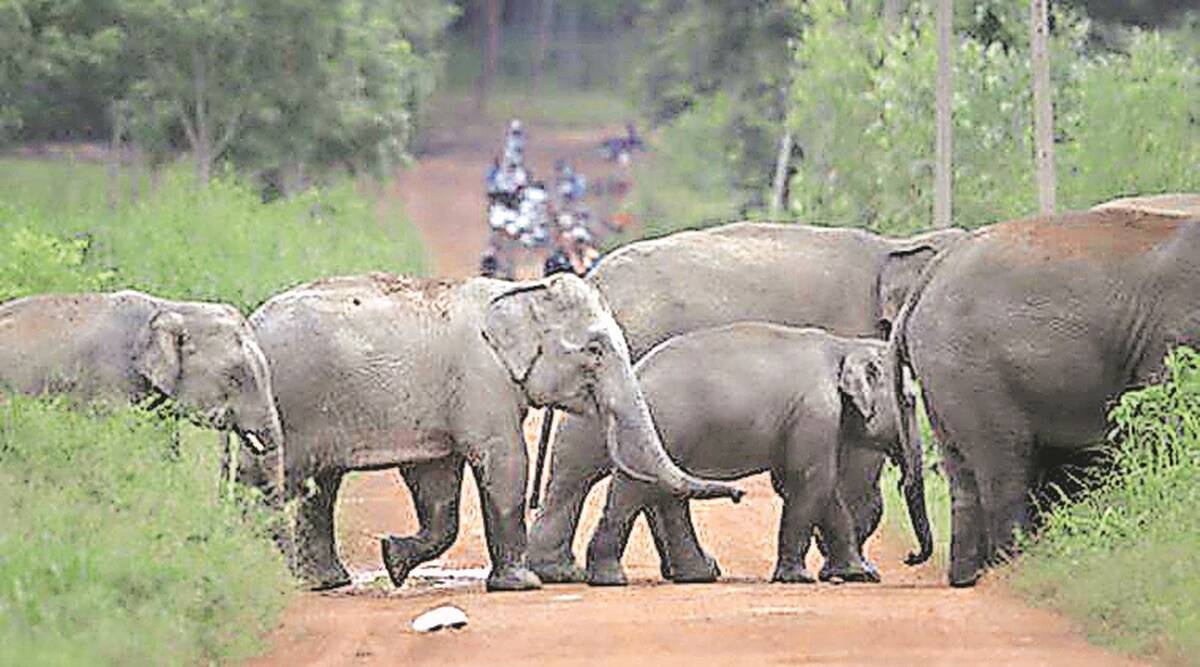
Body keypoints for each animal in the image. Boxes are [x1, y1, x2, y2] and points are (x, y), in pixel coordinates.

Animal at [236, 273, 739, 592]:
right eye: (595, 350)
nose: (738, 495)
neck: (517, 295)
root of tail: (251, 322)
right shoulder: (481, 379)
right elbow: (505, 460)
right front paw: (522, 585)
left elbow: (437, 482)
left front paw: (393, 559)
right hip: (285, 406)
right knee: (272, 484)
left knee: (319, 488)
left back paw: (325, 581)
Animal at [580, 321, 936, 585]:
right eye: (909, 401)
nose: (911, 557)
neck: (844, 346)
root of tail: (636, 372)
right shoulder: (816, 411)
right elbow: (811, 481)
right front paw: (797, 579)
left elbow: (815, 487)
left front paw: (858, 575)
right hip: (665, 423)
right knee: (639, 487)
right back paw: (611, 579)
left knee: (667, 492)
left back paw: (697, 575)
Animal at [897, 211, 1195, 585]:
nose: (909, 557)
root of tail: (929, 277)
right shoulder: (1174, 339)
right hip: (974, 377)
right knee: (1005, 466)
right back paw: (1014, 566)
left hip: (945, 382)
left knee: (962, 475)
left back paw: (968, 576)